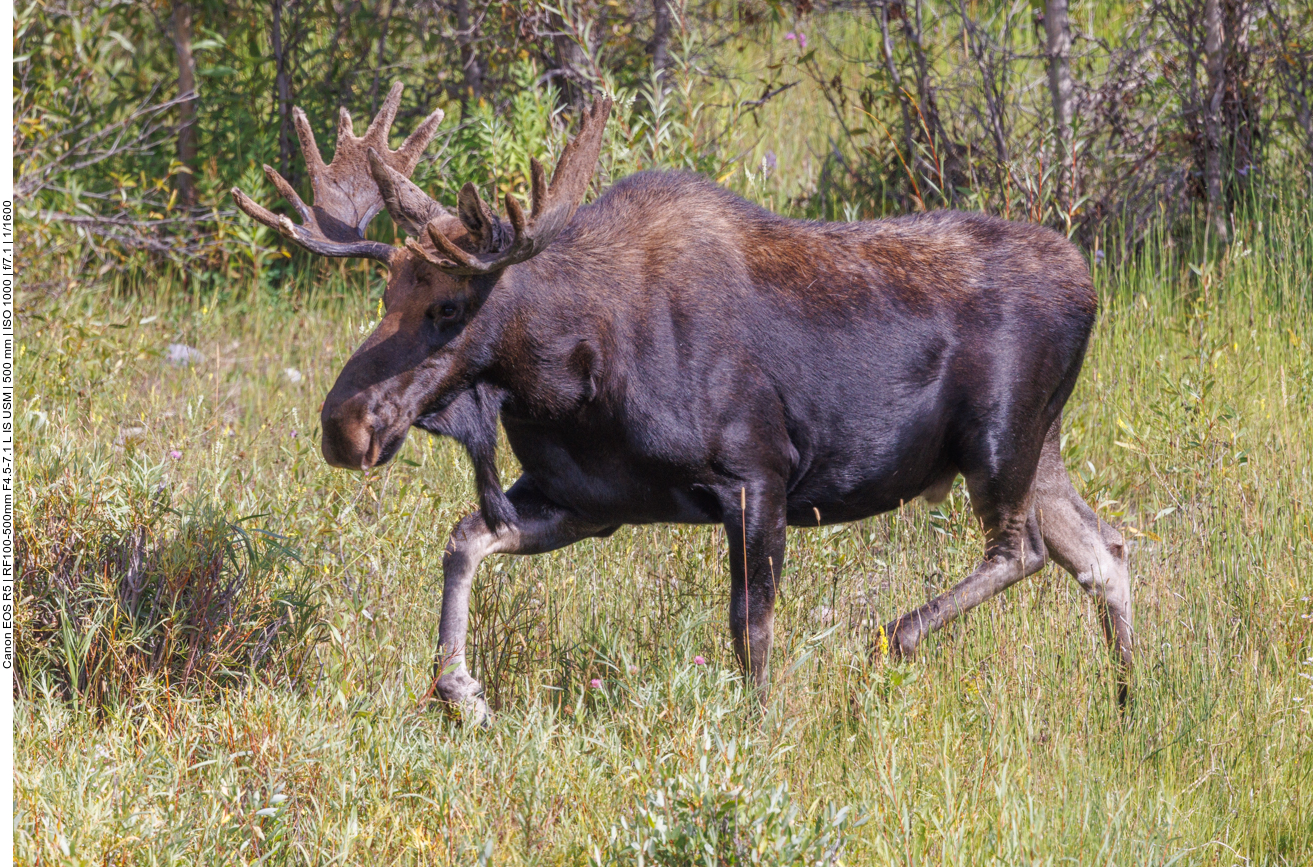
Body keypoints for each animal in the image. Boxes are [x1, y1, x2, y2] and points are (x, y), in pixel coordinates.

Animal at [238, 84, 1139, 719]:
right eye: (387, 290)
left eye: (449, 306)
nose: (344, 426)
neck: (559, 379)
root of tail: (1089, 280)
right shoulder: (588, 500)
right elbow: (463, 539)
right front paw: (460, 690)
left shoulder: (757, 476)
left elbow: (750, 629)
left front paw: (758, 731)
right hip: (1038, 445)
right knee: (1103, 548)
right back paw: (1132, 703)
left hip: (998, 440)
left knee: (1024, 549)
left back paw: (893, 635)